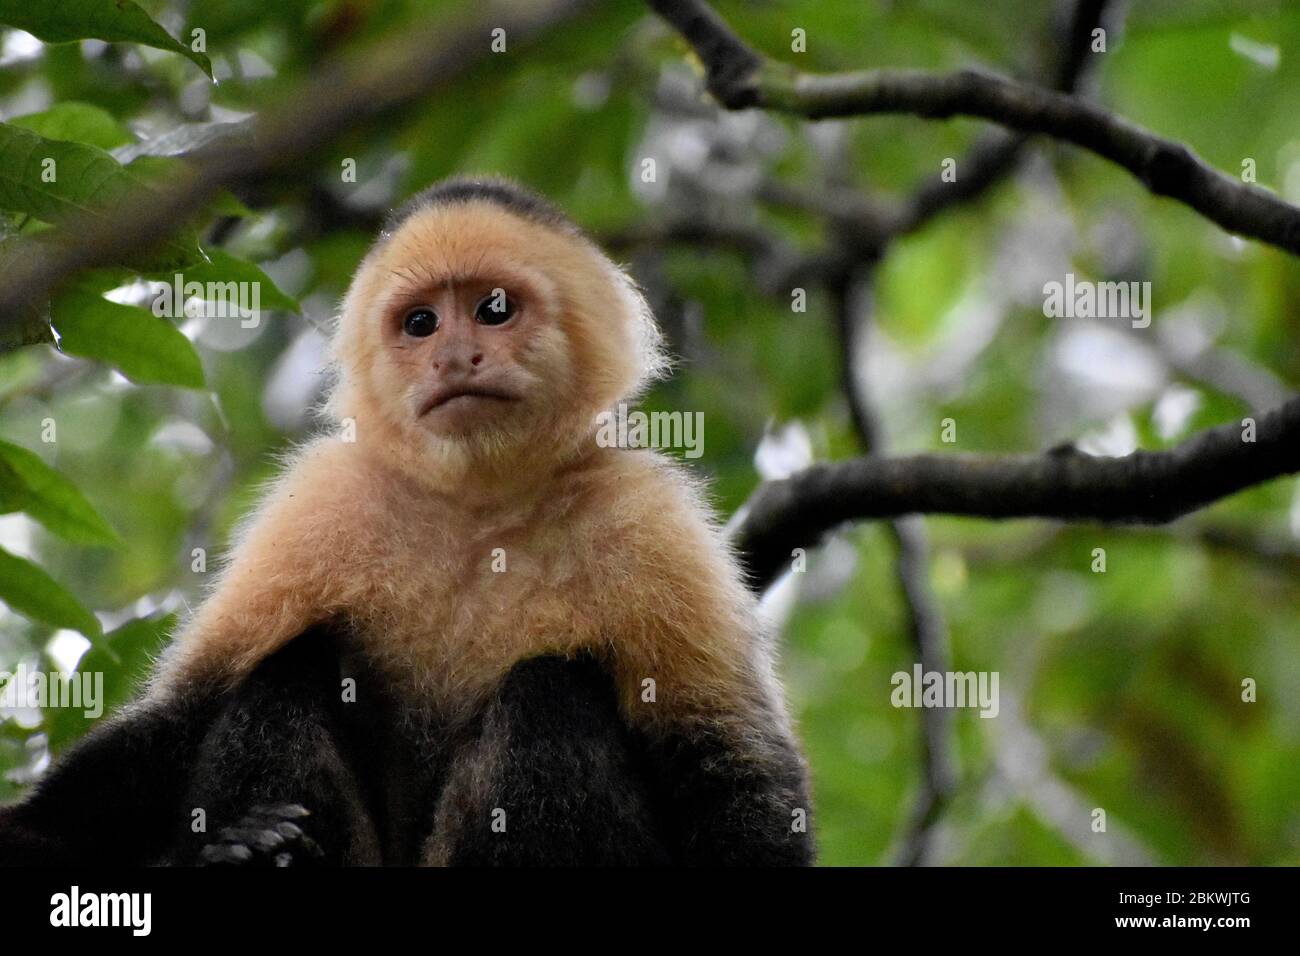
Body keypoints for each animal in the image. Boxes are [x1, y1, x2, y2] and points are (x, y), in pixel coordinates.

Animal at [0, 178, 811, 868]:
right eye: (421, 324)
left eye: (493, 309)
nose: (453, 356)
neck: (482, 508)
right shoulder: (328, 495)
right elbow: (178, 719)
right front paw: (31, 833)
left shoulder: (649, 514)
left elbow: (730, 770)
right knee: (288, 662)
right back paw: (255, 850)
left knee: (550, 689)